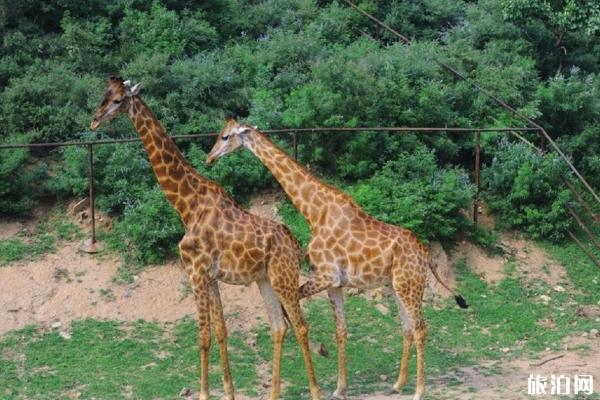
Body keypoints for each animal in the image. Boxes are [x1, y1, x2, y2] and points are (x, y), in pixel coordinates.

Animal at [88, 77, 318, 400]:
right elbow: (221, 332)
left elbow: (203, 336)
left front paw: (204, 393)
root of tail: (295, 246)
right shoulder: (210, 277)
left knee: (301, 327)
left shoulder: (195, 272)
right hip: (265, 279)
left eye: (118, 100)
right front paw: (229, 392)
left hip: (283, 278)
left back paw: (315, 390)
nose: (94, 120)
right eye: (104, 95)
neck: (187, 205)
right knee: (279, 326)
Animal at [206, 118, 468, 400]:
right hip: (397, 286)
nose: (209, 158)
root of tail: (426, 255)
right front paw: (339, 387)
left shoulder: (325, 275)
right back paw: (398, 384)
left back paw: (418, 391)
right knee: (407, 327)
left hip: (410, 285)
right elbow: (341, 331)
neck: (314, 213)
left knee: (421, 328)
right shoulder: (335, 284)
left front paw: (322, 353)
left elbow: (294, 311)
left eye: (225, 137)